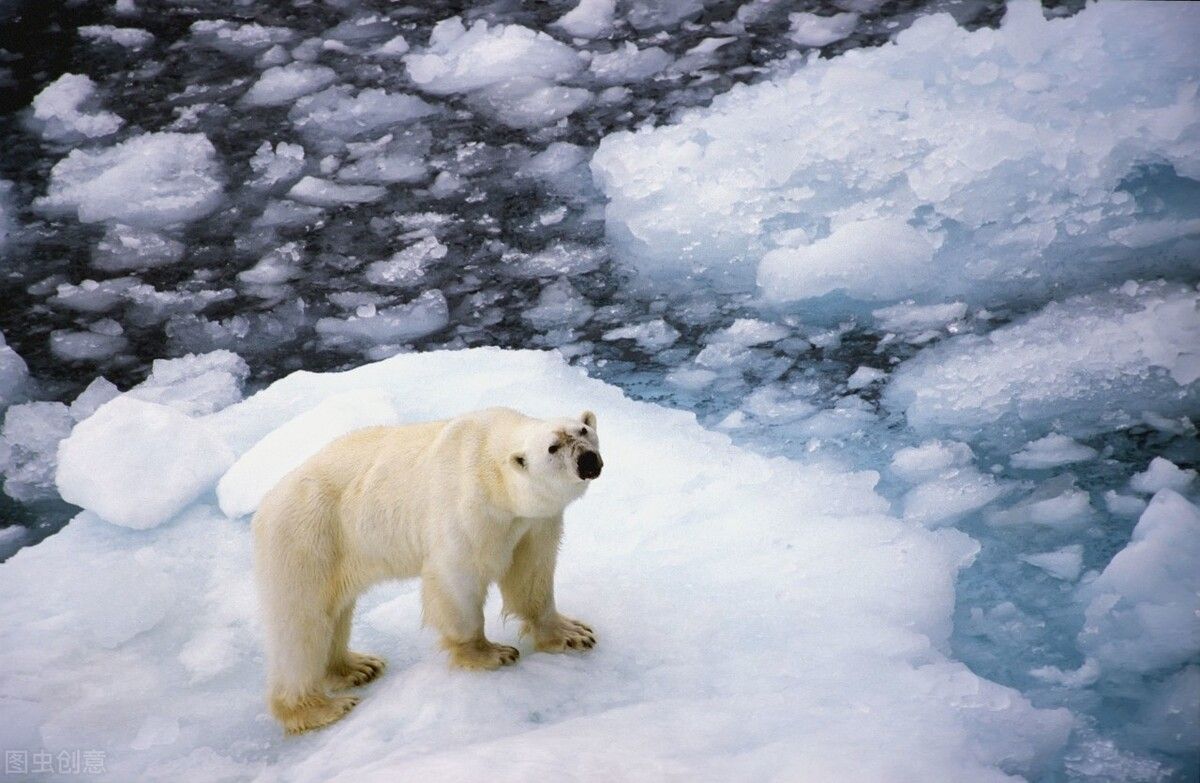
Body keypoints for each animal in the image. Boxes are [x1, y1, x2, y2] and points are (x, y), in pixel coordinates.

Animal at [254, 403, 609, 734]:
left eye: (582, 430)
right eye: (552, 447)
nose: (588, 460)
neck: (491, 463)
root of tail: (267, 503)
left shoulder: (533, 522)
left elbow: (532, 573)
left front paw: (572, 633)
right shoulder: (470, 506)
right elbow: (457, 576)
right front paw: (490, 653)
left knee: (334, 615)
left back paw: (358, 667)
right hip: (309, 537)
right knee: (303, 625)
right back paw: (318, 708)